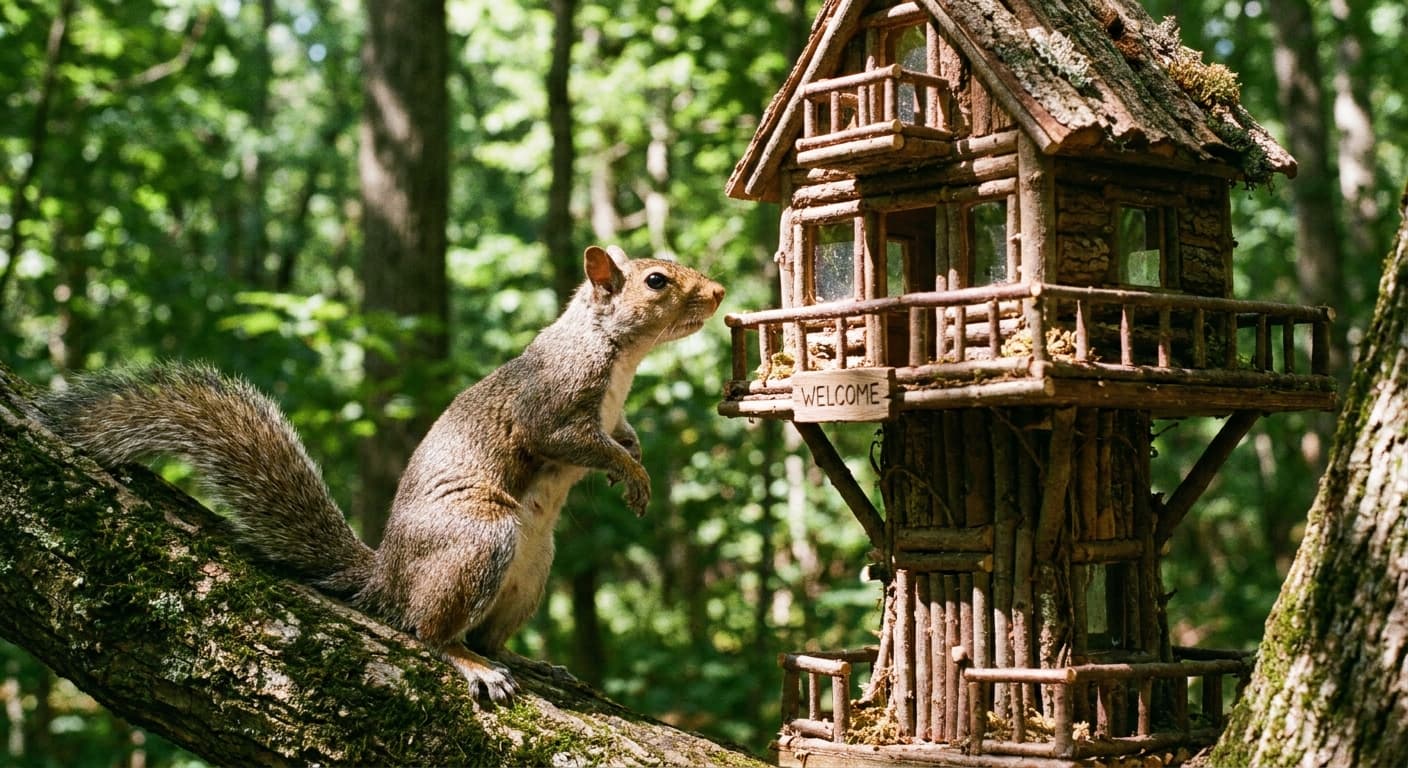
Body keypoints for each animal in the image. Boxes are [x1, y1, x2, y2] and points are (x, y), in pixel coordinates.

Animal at [39, 244, 725, 703]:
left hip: (532, 568)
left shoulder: (611, 414)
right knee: (432, 632)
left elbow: (623, 435)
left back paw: (532, 664)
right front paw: (629, 472)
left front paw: (636, 462)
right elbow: (575, 441)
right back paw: (473, 664)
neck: (618, 356)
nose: (718, 294)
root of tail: (388, 576)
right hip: (483, 537)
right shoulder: (551, 406)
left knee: (488, 636)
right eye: (657, 281)